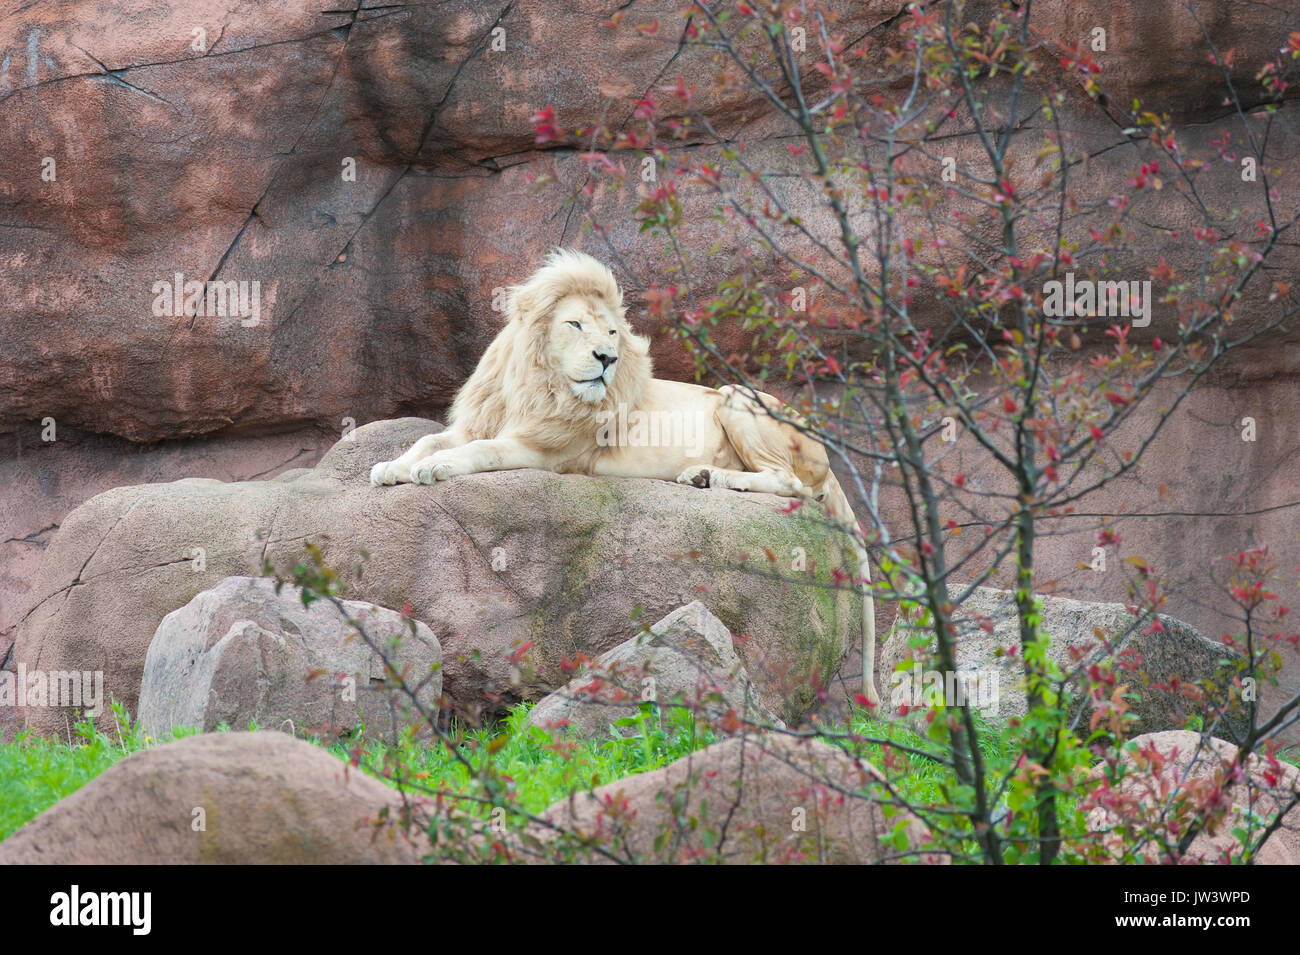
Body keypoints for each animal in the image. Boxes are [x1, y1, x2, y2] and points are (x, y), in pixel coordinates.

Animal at [377, 250, 883, 706]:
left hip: (734, 395)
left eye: (612, 332)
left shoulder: (544, 450)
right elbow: (430, 440)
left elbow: (479, 451)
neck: (537, 384)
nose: (606, 357)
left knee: (793, 484)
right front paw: (392, 467)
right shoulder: (477, 422)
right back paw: (699, 474)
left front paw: (434, 468)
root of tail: (825, 450)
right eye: (575, 325)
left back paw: (721, 479)